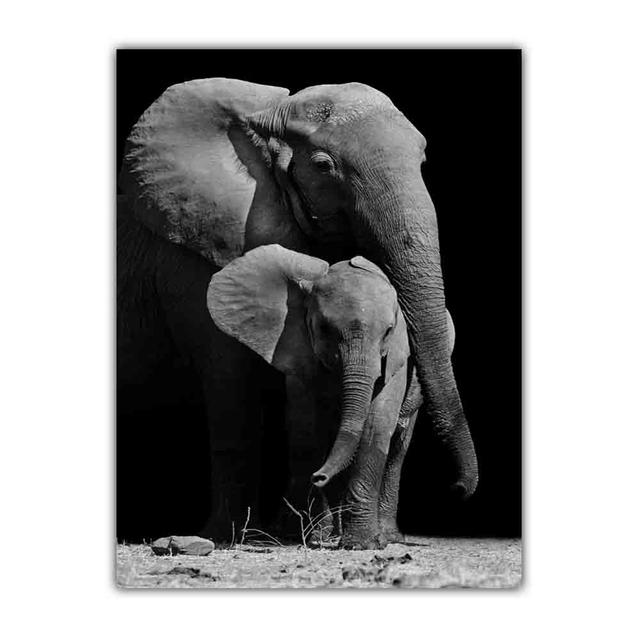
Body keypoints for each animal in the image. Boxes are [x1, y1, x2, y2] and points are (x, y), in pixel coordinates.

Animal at [118, 77, 478, 540]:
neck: (270, 112)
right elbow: (230, 380)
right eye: (324, 166)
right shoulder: (190, 254)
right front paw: (231, 536)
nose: (458, 489)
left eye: (422, 158)